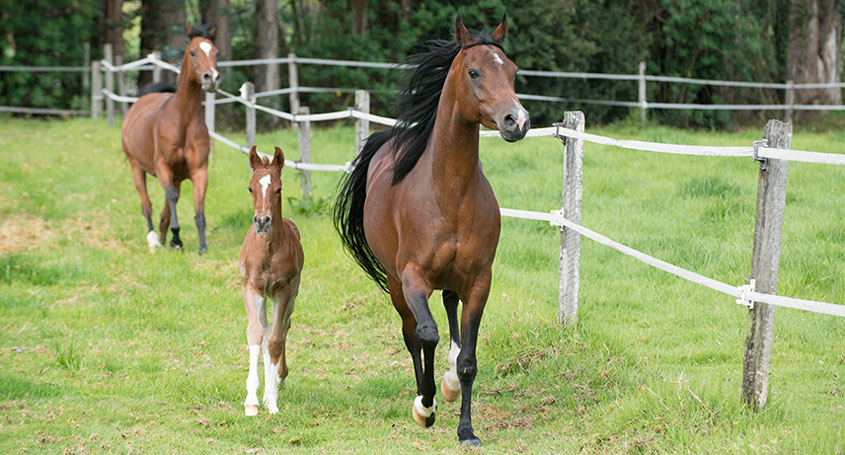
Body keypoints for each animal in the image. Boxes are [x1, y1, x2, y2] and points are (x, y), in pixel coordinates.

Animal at [123, 24, 223, 256]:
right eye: (193, 52)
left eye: (216, 53)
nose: (211, 78)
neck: (183, 121)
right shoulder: (162, 166)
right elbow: (171, 197)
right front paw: (176, 239)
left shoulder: (199, 171)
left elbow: (198, 207)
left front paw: (202, 246)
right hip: (136, 166)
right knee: (147, 205)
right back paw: (154, 239)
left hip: (175, 176)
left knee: (165, 207)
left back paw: (162, 236)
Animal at [334, 13, 528, 446]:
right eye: (474, 71)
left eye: (512, 70)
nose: (517, 121)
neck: (449, 194)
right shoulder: (412, 278)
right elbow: (425, 335)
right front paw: (425, 406)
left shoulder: (480, 281)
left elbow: (469, 358)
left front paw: (466, 428)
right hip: (394, 283)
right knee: (413, 333)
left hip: (454, 279)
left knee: (451, 309)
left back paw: (450, 382)